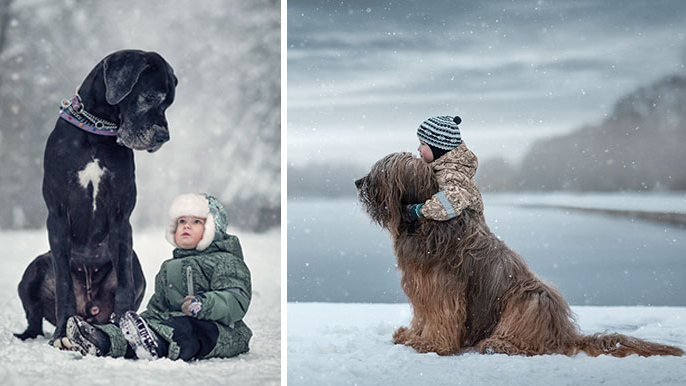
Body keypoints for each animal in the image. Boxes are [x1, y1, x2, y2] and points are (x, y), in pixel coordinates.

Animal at [16, 50, 179, 344]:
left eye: (168, 104)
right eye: (150, 97)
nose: (164, 136)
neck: (96, 131)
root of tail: (89, 309)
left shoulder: (121, 217)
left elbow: (125, 283)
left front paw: (127, 328)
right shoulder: (57, 215)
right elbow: (64, 285)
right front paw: (62, 332)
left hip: (136, 265)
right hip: (33, 269)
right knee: (34, 319)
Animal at [358, 152, 684, 358]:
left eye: (382, 172)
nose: (358, 182)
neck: (424, 224)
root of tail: (565, 333)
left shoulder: (442, 289)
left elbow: (440, 318)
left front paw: (430, 345)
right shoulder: (422, 286)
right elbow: (422, 316)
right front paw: (411, 336)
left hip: (530, 298)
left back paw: (498, 344)